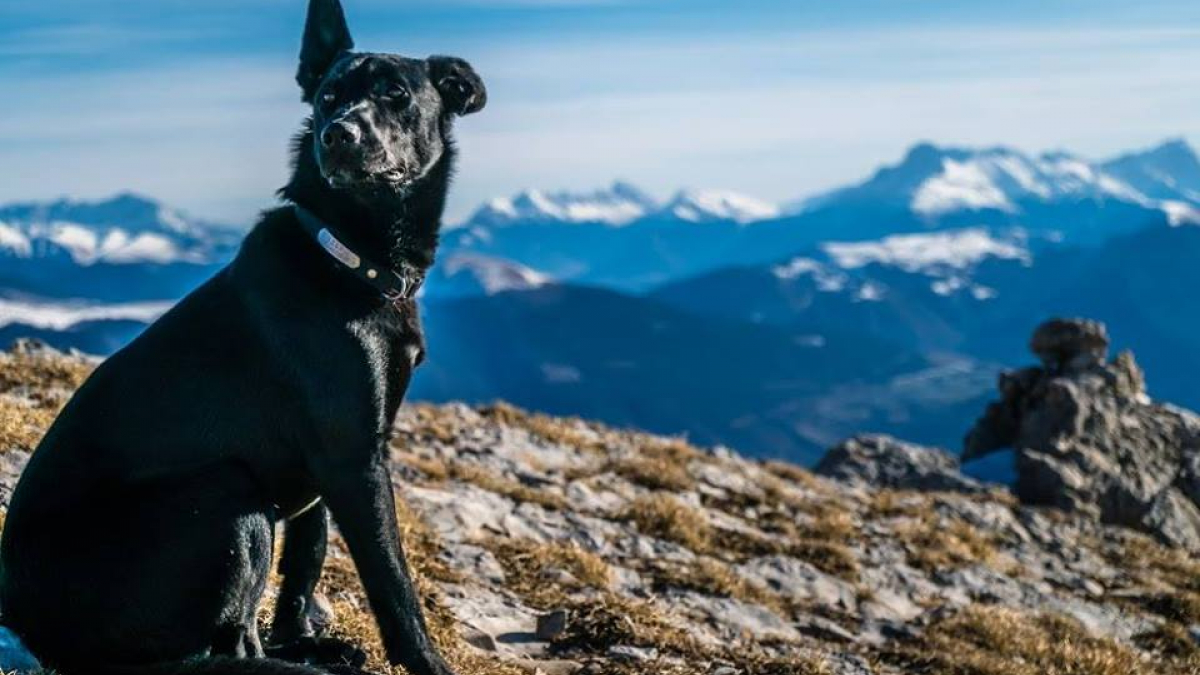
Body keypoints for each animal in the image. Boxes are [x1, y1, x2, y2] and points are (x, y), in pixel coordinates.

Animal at [1, 1, 487, 672]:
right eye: (329, 97)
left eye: (396, 94)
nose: (338, 134)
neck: (344, 254)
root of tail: (23, 617)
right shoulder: (355, 459)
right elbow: (393, 584)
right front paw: (425, 662)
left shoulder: (328, 467)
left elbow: (306, 559)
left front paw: (299, 634)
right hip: (230, 496)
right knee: (209, 649)